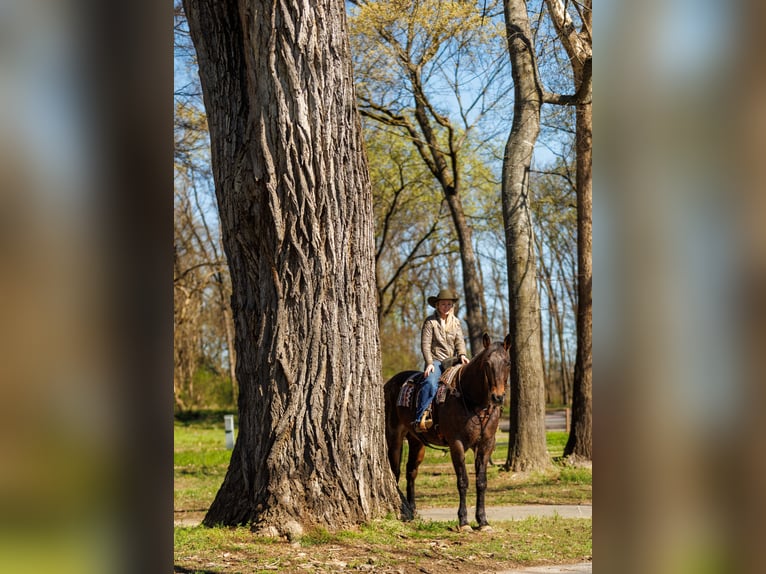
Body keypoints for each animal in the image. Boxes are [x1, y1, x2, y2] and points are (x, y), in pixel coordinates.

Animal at [383, 333, 511, 531]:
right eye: (487, 363)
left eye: (508, 363)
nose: (497, 397)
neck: (472, 400)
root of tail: (389, 383)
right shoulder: (456, 444)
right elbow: (463, 481)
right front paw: (464, 521)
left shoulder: (486, 444)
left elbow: (481, 482)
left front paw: (483, 521)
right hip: (394, 436)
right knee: (395, 470)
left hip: (416, 442)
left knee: (411, 471)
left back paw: (412, 510)